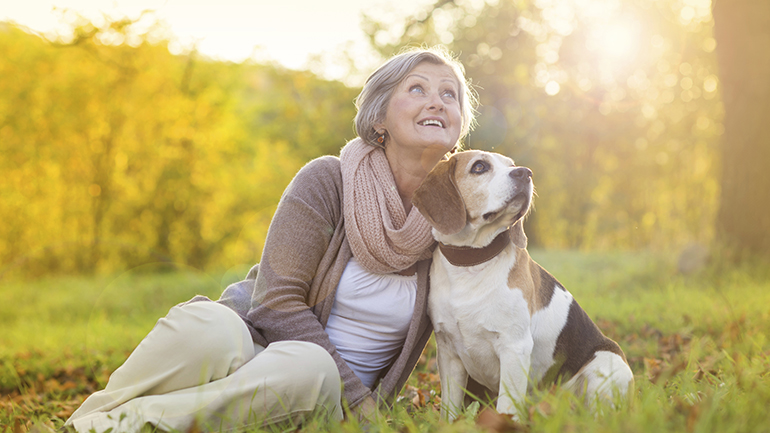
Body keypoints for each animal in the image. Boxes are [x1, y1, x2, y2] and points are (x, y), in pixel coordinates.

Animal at [412, 150, 632, 420]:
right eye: (479, 167)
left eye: (512, 165)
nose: (525, 173)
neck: (471, 264)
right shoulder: (448, 352)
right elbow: (449, 409)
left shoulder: (514, 348)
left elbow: (506, 407)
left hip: (604, 367)